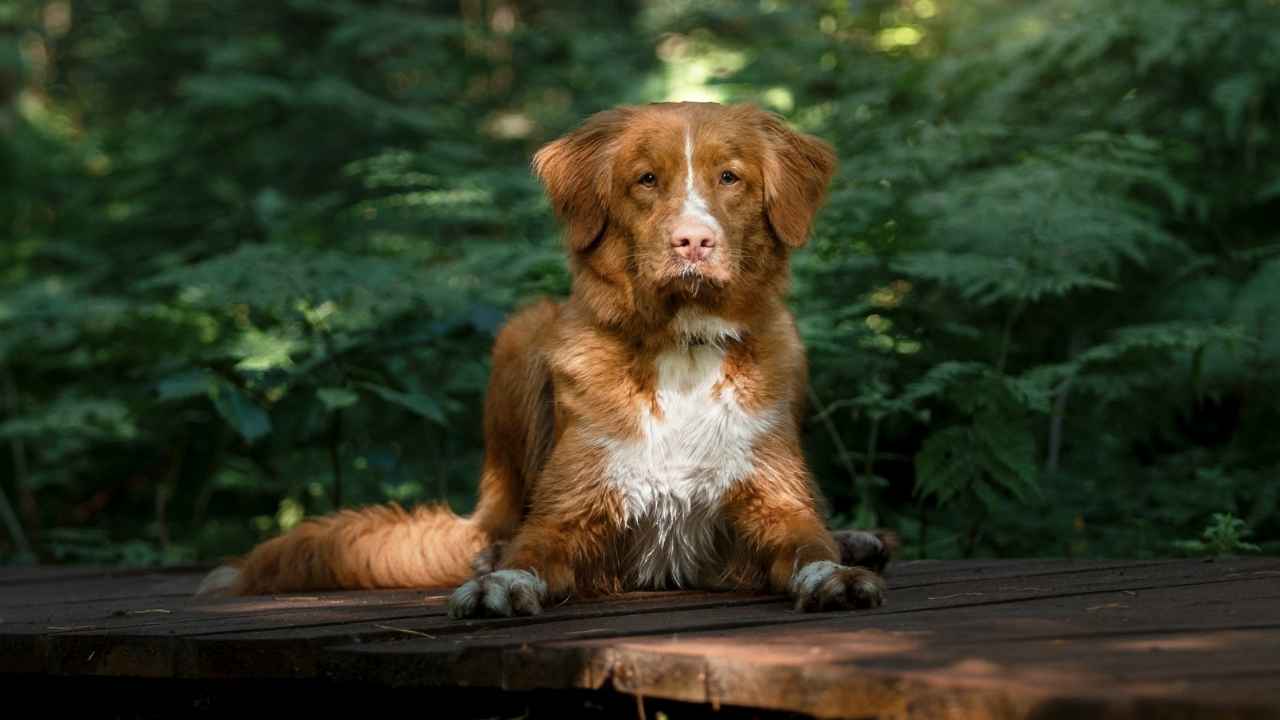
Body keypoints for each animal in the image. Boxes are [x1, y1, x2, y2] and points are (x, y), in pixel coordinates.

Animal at [199, 102, 896, 617]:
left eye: (730, 177)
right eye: (646, 180)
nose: (693, 242)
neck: (681, 345)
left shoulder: (769, 496)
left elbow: (805, 538)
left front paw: (836, 572)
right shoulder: (572, 508)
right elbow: (531, 552)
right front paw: (500, 584)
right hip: (521, 332)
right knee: (497, 528)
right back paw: (488, 554)